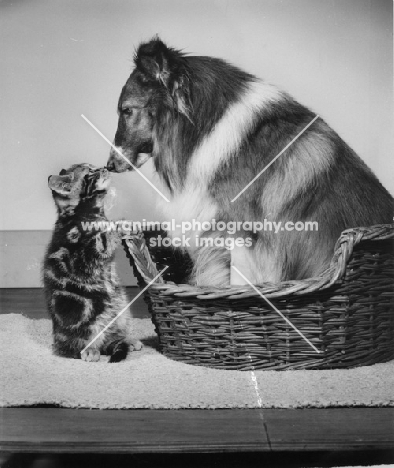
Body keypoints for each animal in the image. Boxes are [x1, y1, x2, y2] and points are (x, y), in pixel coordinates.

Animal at [43, 163, 142, 364]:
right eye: (89, 172)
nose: (105, 168)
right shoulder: (82, 254)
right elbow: (106, 234)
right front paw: (122, 225)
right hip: (83, 315)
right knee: (77, 344)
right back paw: (89, 350)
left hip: (123, 310)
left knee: (115, 335)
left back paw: (128, 339)